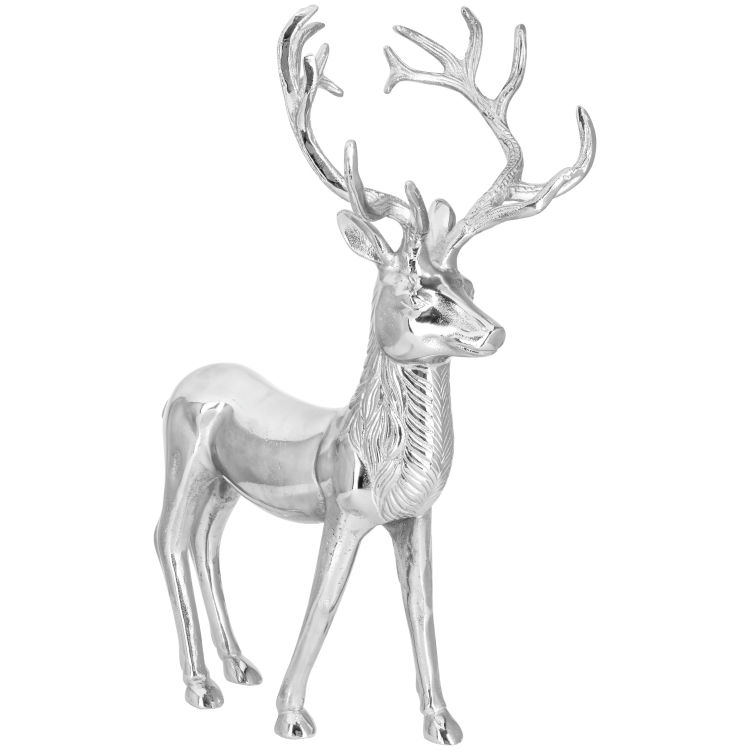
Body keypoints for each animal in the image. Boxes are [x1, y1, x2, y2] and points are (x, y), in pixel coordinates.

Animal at [154, 5, 595, 745]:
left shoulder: (415, 516)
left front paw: (443, 721)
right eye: (420, 293)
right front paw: (292, 716)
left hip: (224, 486)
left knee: (205, 543)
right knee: (166, 538)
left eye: (468, 282)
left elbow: (421, 607)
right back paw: (199, 685)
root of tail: (185, 380)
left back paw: (239, 666)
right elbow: (324, 602)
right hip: (182, 459)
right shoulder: (343, 509)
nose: (495, 331)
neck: (369, 445)